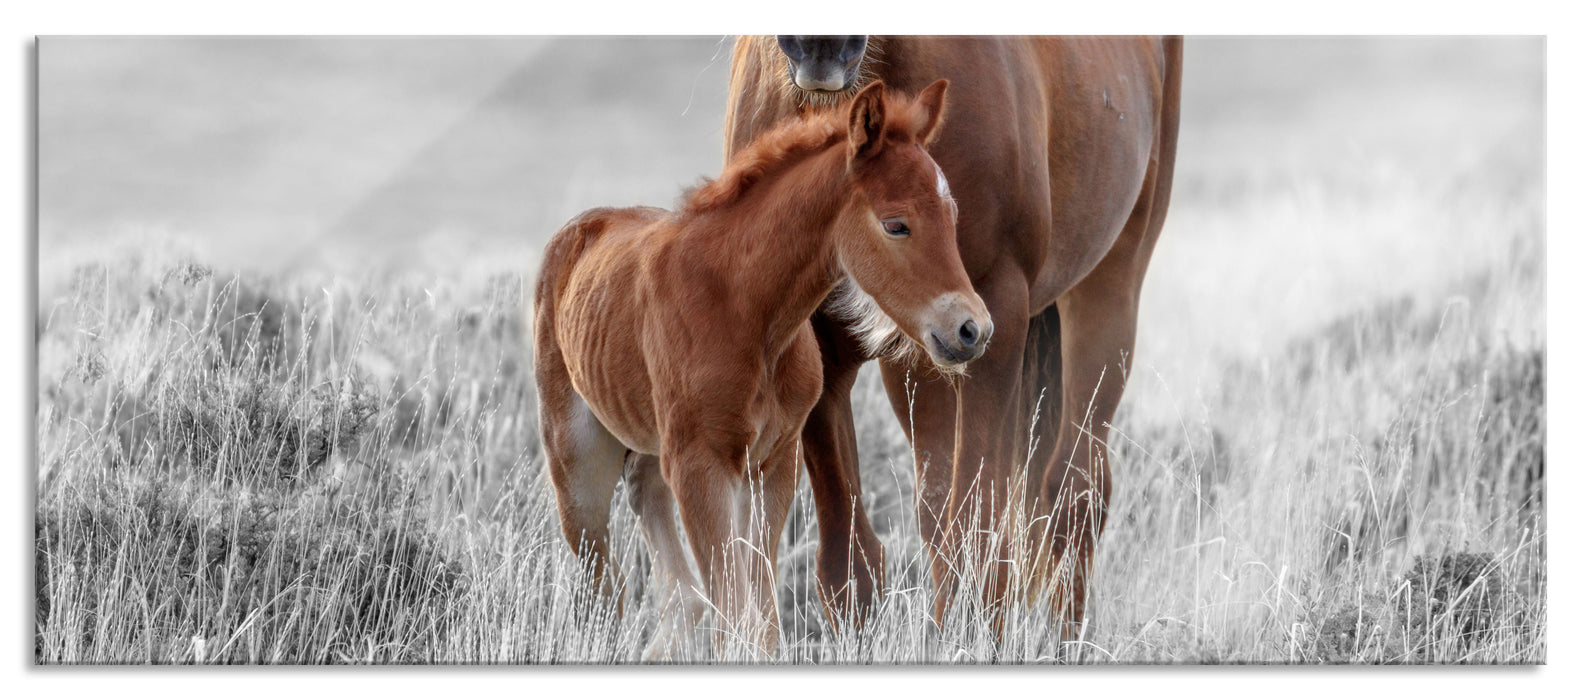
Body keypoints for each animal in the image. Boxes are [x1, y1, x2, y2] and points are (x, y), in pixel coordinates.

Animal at [531, 80, 987, 655]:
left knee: (650, 513)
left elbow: (761, 619)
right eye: (896, 224)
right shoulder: (699, 466)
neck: (747, 313)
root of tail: (576, 231)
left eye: (953, 216)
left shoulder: (772, 463)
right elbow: (735, 615)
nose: (971, 330)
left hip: (653, 447)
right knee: (601, 582)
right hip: (577, 463)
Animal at [724, 34, 1183, 633]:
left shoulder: (992, 312)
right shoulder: (824, 338)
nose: (822, 45)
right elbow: (851, 555)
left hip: (1106, 287)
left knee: (1073, 490)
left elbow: (975, 523)